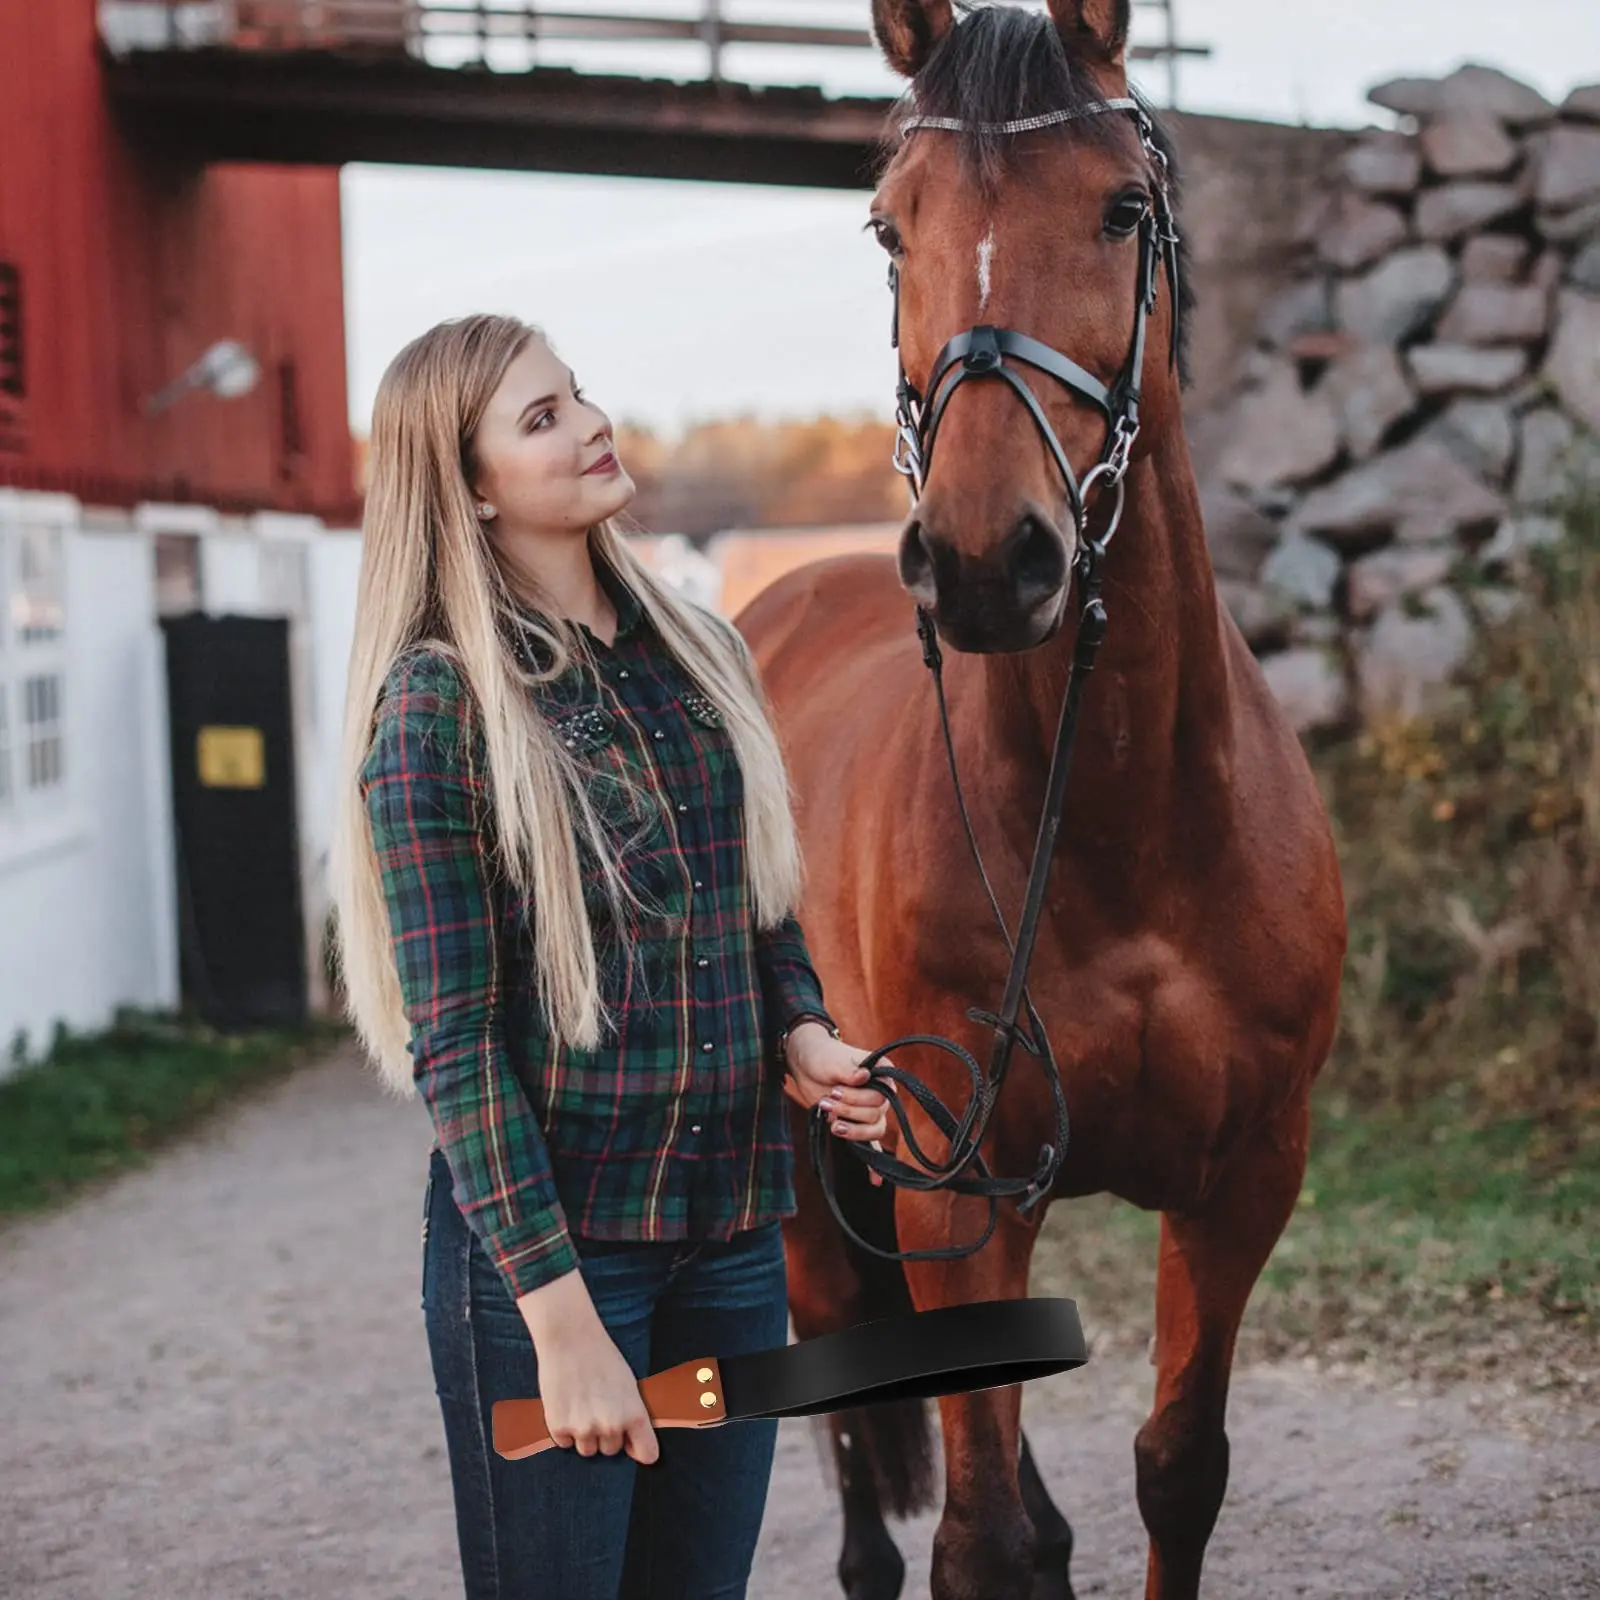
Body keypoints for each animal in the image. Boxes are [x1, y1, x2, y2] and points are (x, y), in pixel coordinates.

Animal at [736, 3, 1350, 1600]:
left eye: (1123, 210)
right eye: (890, 230)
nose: (978, 560)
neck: (1127, 823)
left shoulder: (1244, 1181)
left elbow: (1177, 1469)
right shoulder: (956, 1189)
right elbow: (976, 1538)